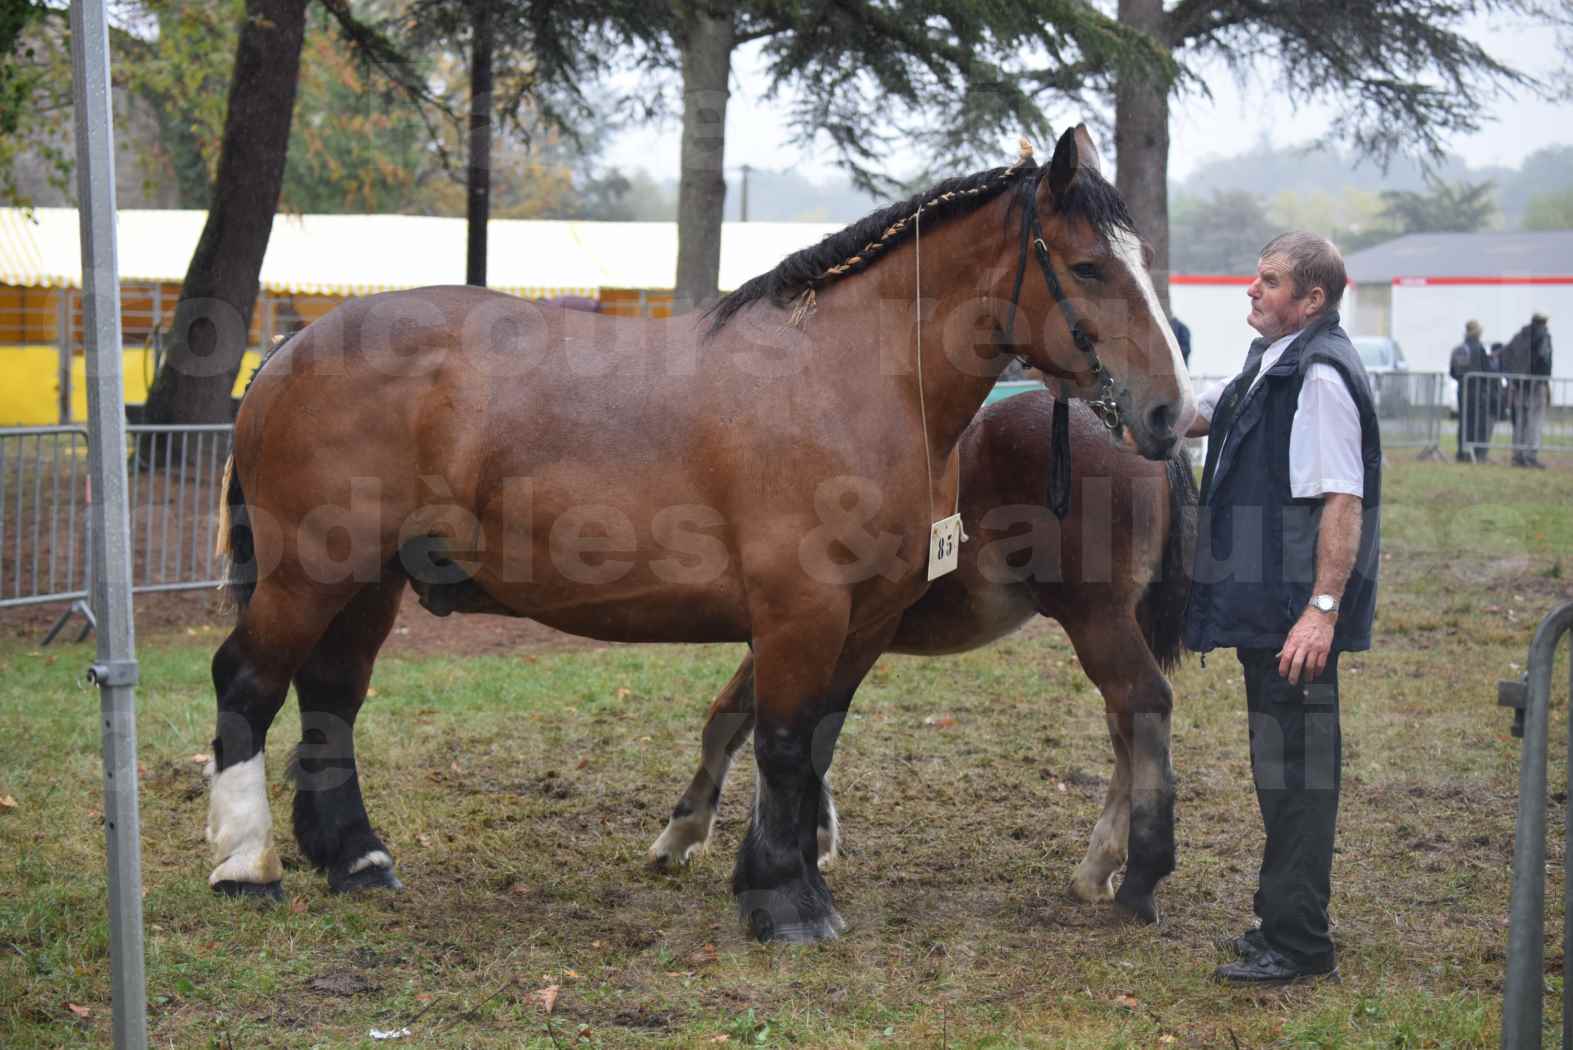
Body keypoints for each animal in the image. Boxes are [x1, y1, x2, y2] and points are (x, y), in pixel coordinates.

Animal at [648, 389, 1189, 924]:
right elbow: (751, 724)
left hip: (1097, 620)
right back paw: (1098, 869)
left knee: (1145, 705)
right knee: (1125, 728)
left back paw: (1139, 879)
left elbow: (761, 731)